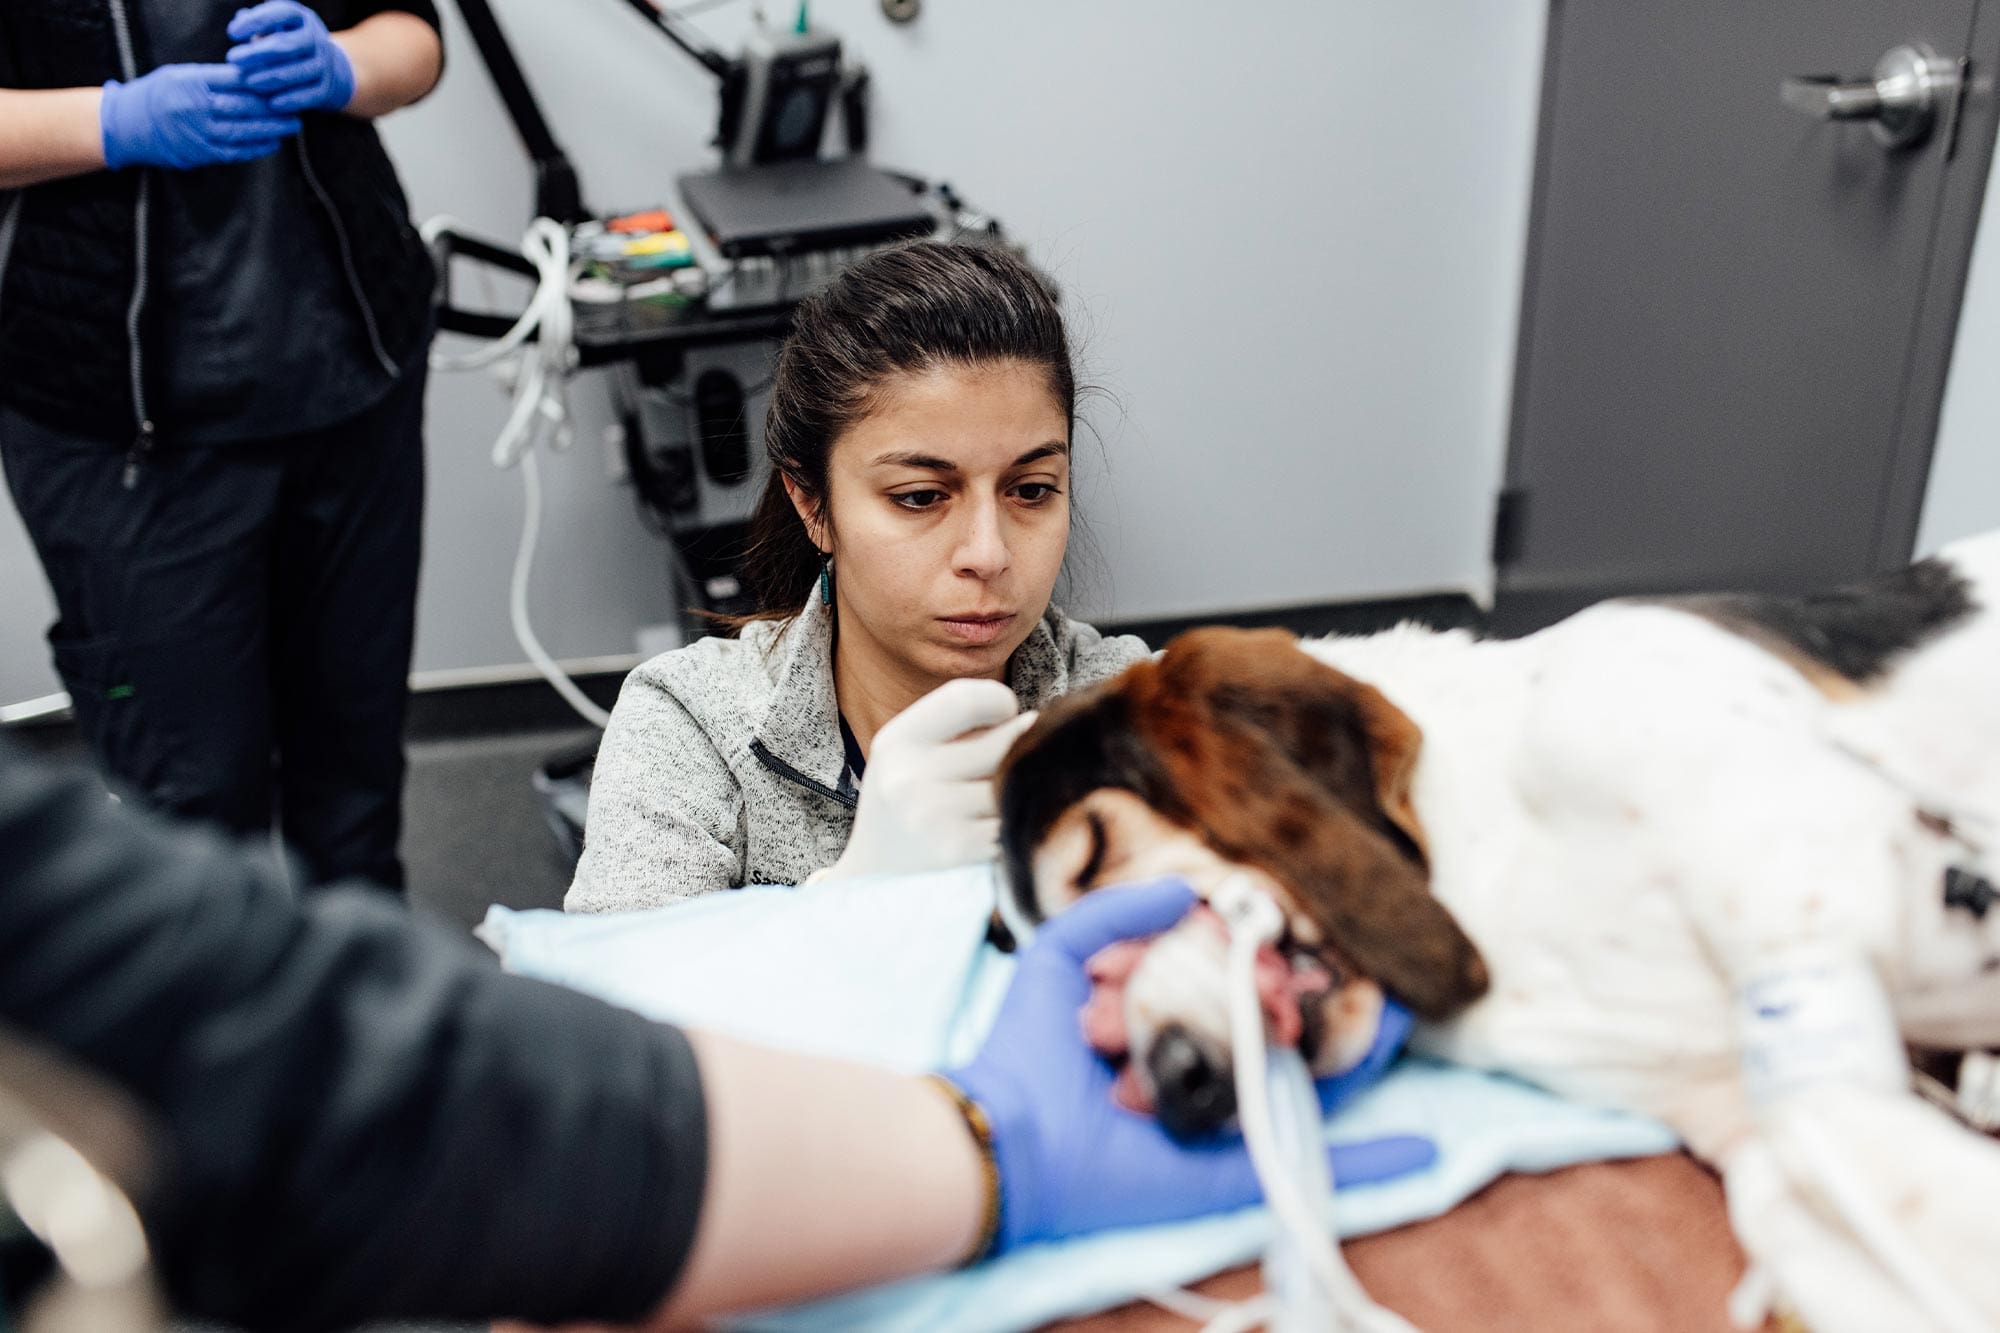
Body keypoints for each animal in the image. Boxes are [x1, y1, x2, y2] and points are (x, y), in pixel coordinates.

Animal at [996, 524, 2000, 1320]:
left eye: (1092, 853)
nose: (1173, 1084)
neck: (1493, 865)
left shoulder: (1802, 869)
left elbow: (1824, 1081)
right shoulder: (1739, 1115)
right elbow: (1820, 1168)